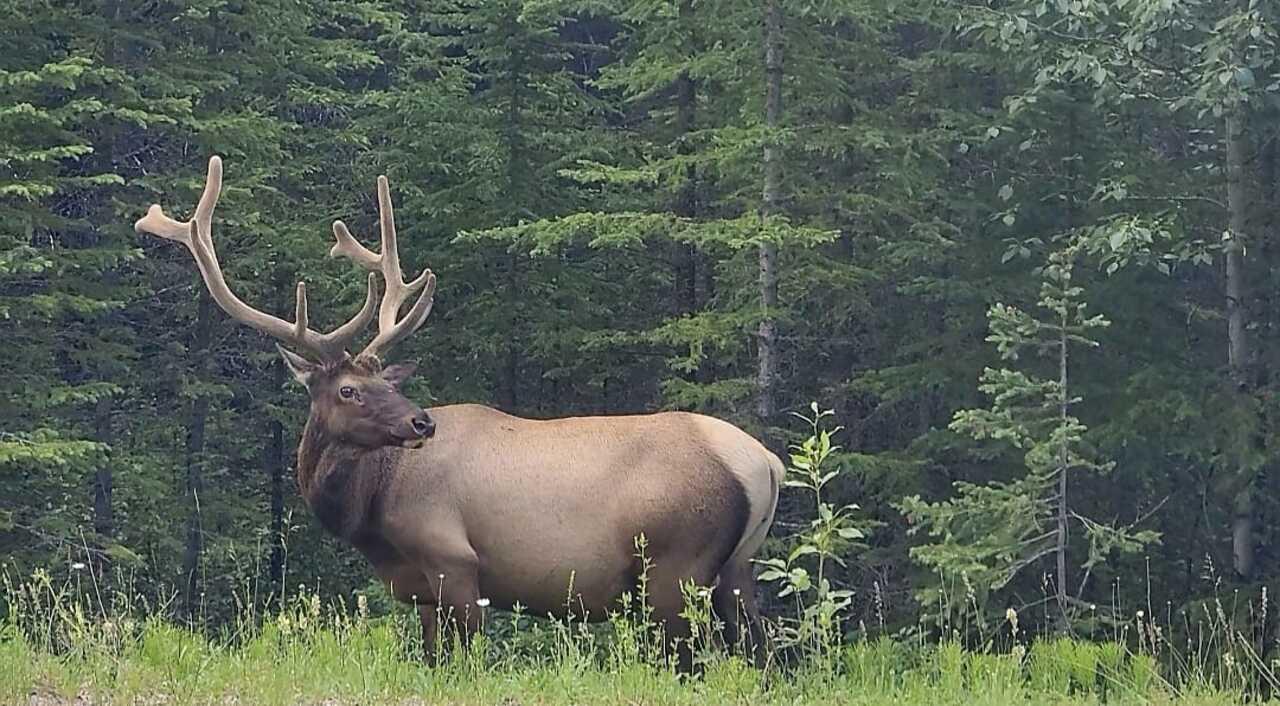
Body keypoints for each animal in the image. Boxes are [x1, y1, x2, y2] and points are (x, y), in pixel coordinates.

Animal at [135, 156, 784, 670]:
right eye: (349, 390)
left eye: (372, 384)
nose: (421, 422)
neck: (373, 512)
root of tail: (766, 464)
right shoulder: (422, 590)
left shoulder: (454, 561)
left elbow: (463, 665)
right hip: (738, 570)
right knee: (764, 657)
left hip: (675, 569)